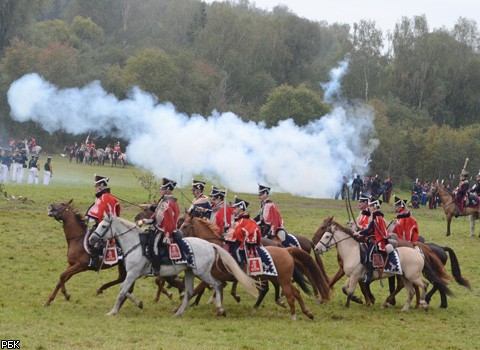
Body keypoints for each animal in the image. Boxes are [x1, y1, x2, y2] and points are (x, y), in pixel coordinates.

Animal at [45, 200, 178, 306]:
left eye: (62, 204)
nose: (50, 206)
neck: (77, 238)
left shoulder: (80, 266)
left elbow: (62, 276)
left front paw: (64, 295)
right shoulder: (71, 264)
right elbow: (62, 279)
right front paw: (51, 299)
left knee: (128, 284)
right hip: (123, 265)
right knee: (122, 279)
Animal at [88, 216, 260, 318]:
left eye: (103, 226)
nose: (91, 239)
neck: (135, 243)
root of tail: (210, 245)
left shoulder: (132, 273)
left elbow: (122, 291)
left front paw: (113, 311)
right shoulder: (133, 274)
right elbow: (124, 290)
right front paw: (139, 303)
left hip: (202, 273)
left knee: (217, 284)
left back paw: (220, 309)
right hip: (190, 272)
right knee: (190, 291)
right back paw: (179, 312)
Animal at [178, 217, 332, 322]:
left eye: (185, 226)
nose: (177, 238)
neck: (215, 249)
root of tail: (286, 250)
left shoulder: (213, 277)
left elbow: (196, 290)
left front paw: (183, 305)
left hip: (281, 279)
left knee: (288, 292)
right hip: (279, 278)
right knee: (293, 292)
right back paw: (306, 312)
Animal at [314, 216, 452, 312]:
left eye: (326, 235)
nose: (316, 248)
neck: (352, 251)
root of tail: (419, 253)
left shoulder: (354, 276)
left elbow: (351, 291)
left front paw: (351, 304)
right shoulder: (352, 276)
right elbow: (344, 289)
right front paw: (360, 300)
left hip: (412, 276)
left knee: (424, 284)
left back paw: (422, 303)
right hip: (405, 277)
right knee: (411, 291)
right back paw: (405, 308)